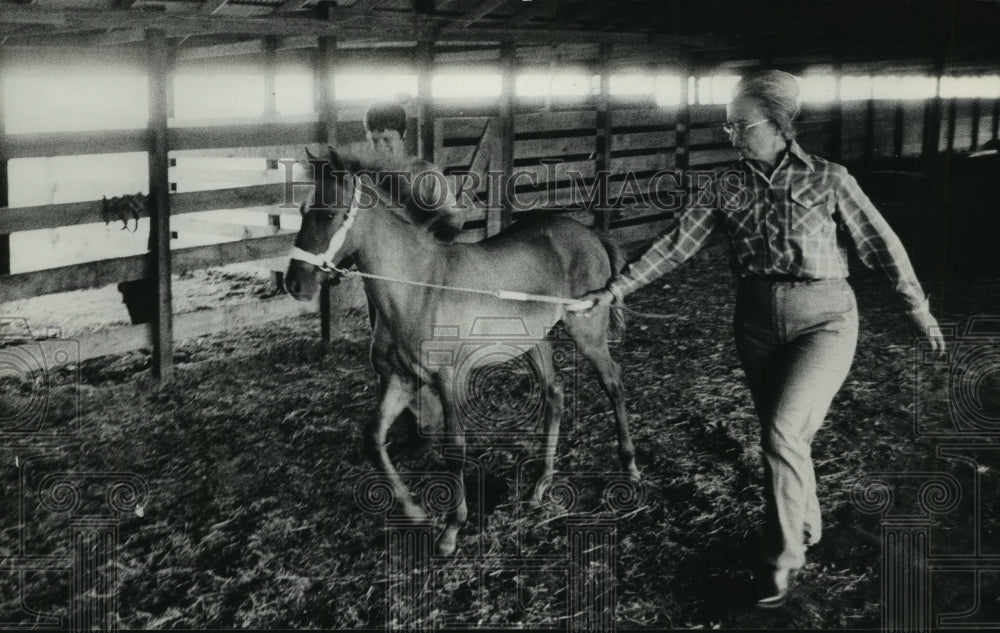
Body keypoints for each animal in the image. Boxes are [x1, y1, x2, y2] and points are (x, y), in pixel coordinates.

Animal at [286, 147, 636, 552]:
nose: (294, 283)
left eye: (327, 213)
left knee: (614, 384)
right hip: (534, 340)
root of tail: (590, 233)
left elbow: (454, 449)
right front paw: (417, 514)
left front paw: (451, 530)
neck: (418, 288)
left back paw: (630, 469)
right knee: (556, 393)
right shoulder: (401, 379)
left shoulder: (447, 379)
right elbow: (373, 439)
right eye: (301, 210)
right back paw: (540, 485)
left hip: (587, 331)